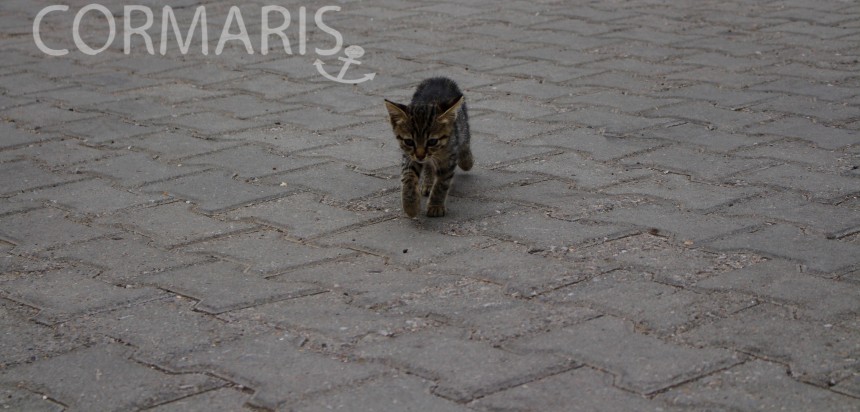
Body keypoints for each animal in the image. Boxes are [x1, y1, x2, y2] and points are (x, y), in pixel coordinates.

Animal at [384, 78, 474, 219]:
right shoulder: (409, 156)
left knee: (465, 140)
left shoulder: (448, 158)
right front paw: (410, 206)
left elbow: (442, 183)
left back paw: (466, 160)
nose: (420, 155)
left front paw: (435, 206)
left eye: (432, 141)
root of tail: (438, 78)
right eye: (409, 141)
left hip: (462, 124)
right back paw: (428, 183)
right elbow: (408, 177)